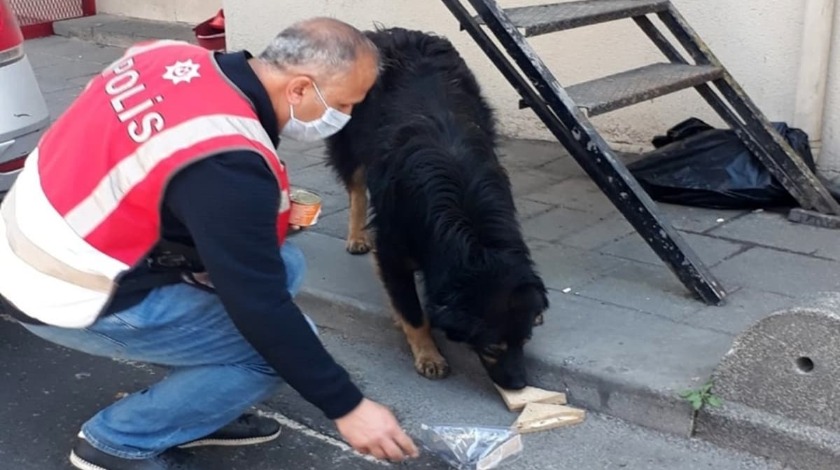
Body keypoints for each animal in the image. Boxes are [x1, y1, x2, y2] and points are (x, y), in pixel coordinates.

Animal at [324, 27, 548, 392]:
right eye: (492, 347)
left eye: (525, 340)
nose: (518, 385)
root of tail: (386, 33)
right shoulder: (393, 247)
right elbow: (412, 309)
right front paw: (428, 354)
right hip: (351, 137)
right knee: (356, 187)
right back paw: (357, 235)